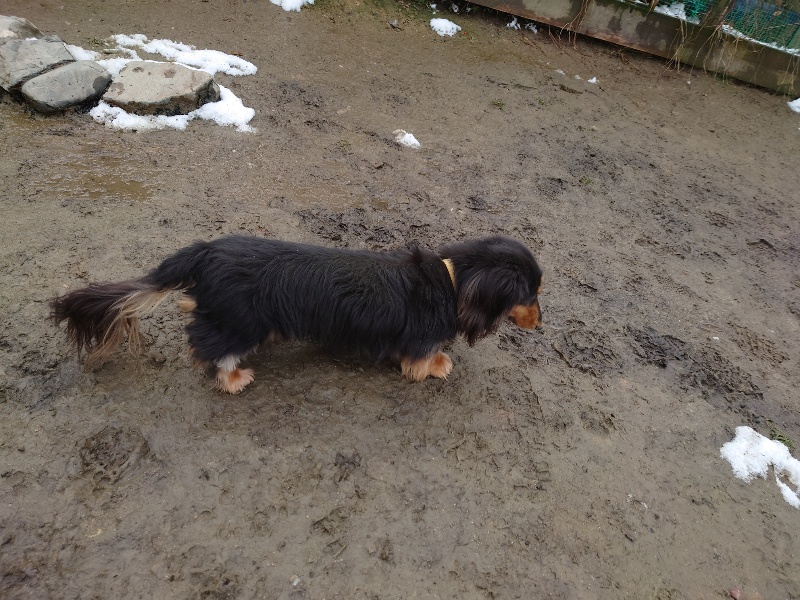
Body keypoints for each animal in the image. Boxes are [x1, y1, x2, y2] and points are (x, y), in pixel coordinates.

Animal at [50, 235, 543, 393]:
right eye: (532, 293)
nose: (541, 321)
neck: (453, 283)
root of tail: (207, 251)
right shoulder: (416, 339)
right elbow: (421, 359)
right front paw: (438, 365)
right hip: (242, 322)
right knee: (209, 344)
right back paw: (233, 377)